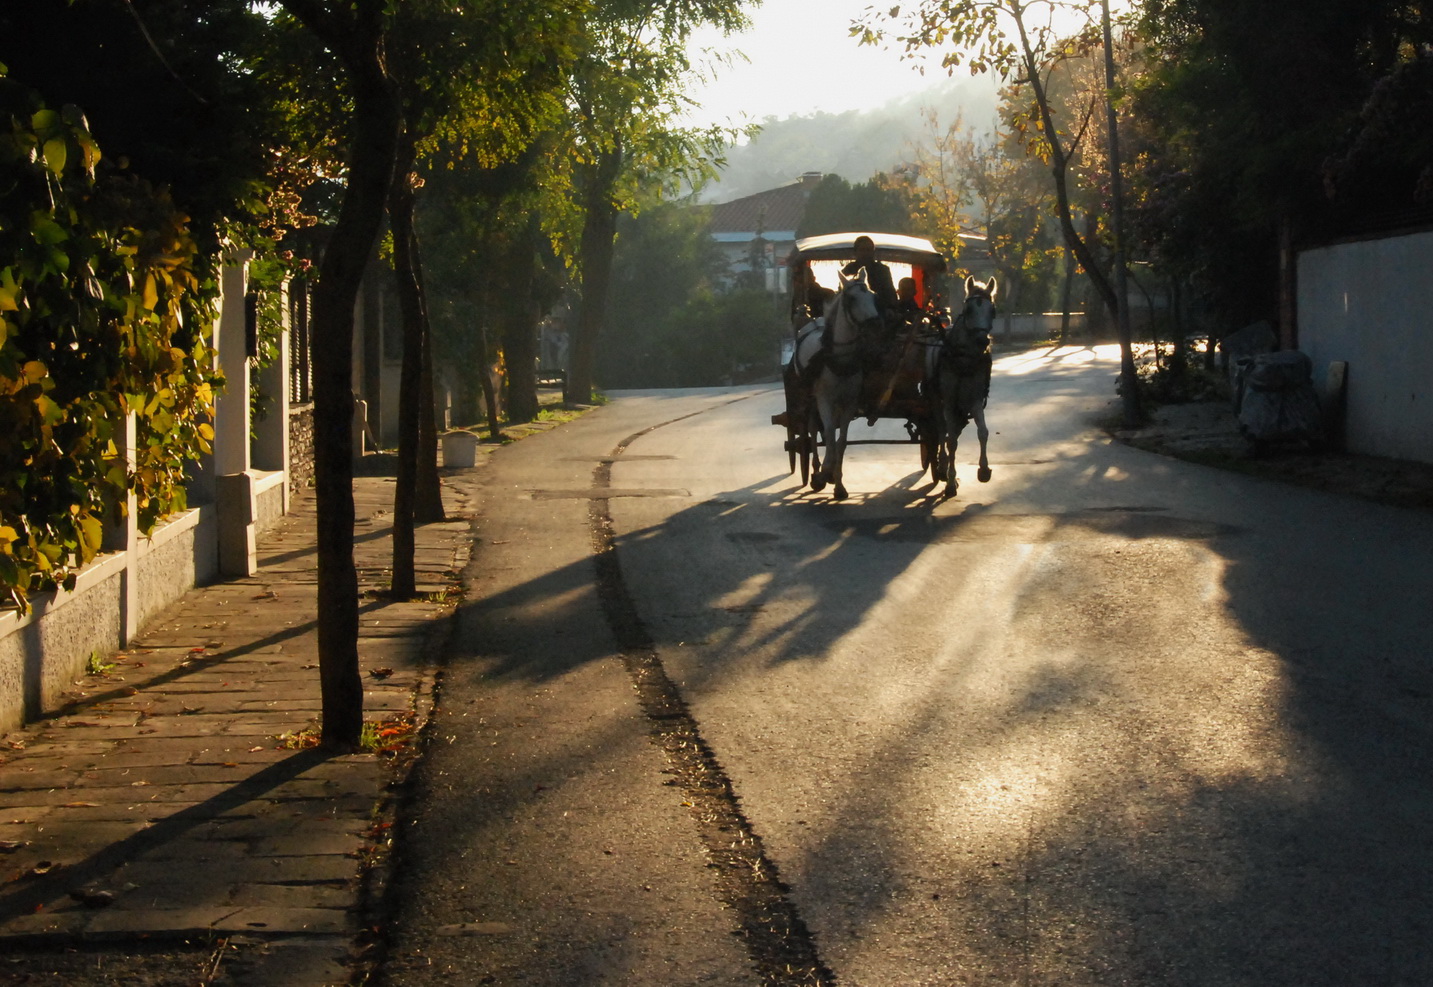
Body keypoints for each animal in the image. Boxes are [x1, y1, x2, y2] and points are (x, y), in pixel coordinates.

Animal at [791, 270, 876, 495]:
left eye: (872, 296)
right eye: (852, 298)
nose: (876, 324)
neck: (839, 358)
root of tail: (812, 323)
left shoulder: (849, 403)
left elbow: (841, 441)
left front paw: (838, 484)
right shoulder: (825, 400)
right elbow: (829, 434)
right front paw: (824, 473)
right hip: (810, 398)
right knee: (813, 429)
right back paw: (815, 470)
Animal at [928, 275, 997, 495]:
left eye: (992, 311)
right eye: (968, 310)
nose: (982, 340)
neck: (964, 359)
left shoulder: (974, 400)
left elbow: (983, 432)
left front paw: (983, 470)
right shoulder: (949, 403)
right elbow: (950, 441)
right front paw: (950, 481)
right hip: (936, 401)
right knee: (942, 431)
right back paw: (942, 467)